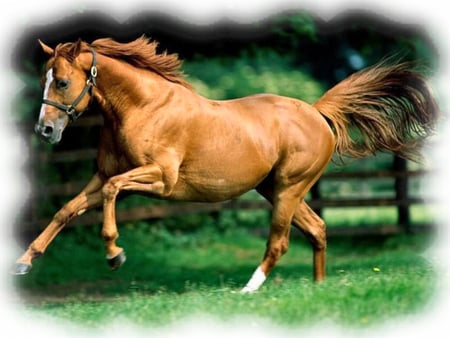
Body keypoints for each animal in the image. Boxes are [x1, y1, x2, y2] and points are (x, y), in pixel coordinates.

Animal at [11, 35, 440, 292]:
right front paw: (23, 262)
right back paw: (318, 288)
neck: (143, 108)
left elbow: (114, 194)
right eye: (44, 79)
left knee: (280, 241)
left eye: (62, 81)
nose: (44, 130)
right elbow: (66, 210)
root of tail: (317, 113)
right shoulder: (102, 175)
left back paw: (249, 289)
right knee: (317, 229)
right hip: (274, 189)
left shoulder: (159, 180)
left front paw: (115, 254)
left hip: (289, 189)